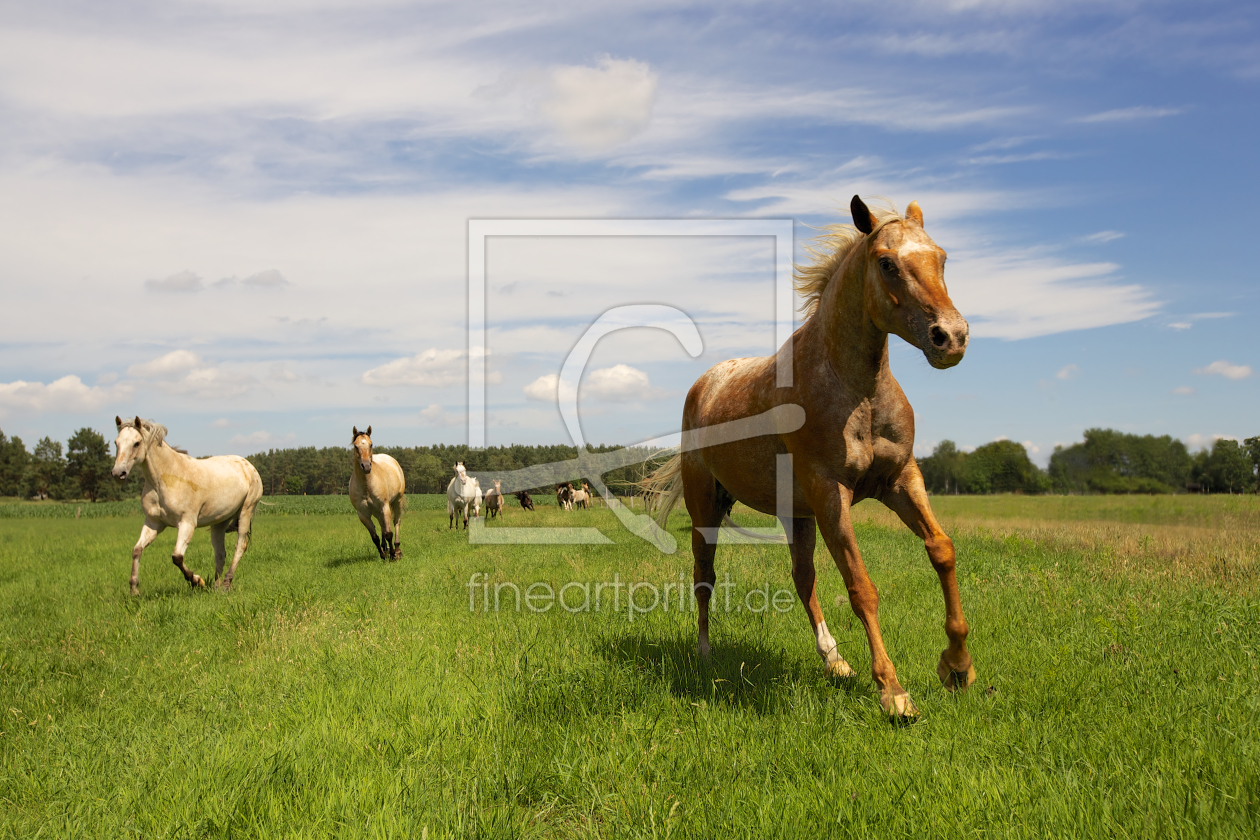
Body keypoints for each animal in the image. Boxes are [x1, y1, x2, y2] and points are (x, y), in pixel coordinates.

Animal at [111, 418, 263, 594]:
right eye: (116, 442)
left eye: (136, 443)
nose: (118, 473)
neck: (166, 478)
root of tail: (248, 465)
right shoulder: (154, 523)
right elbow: (137, 550)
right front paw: (134, 590)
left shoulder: (187, 523)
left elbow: (177, 557)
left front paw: (197, 581)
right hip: (220, 522)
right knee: (220, 553)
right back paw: (216, 586)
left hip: (246, 510)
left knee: (240, 546)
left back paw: (226, 583)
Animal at [347, 428, 405, 559]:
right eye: (356, 446)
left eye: (371, 444)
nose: (366, 466)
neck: (367, 485)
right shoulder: (363, 514)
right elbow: (375, 537)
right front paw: (383, 555)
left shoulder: (384, 506)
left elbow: (388, 533)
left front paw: (393, 555)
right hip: (377, 511)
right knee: (382, 525)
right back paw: (386, 548)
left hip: (397, 501)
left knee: (396, 522)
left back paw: (397, 550)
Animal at [640, 193, 972, 720]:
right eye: (887, 263)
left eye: (941, 258)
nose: (951, 337)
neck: (855, 389)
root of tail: (704, 384)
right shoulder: (831, 491)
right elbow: (861, 588)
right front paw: (894, 692)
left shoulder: (900, 480)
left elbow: (941, 550)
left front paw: (957, 667)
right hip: (706, 509)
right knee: (703, 577)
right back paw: (704, 653)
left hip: (796, 515)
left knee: (802, 578)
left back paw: (834, 662)